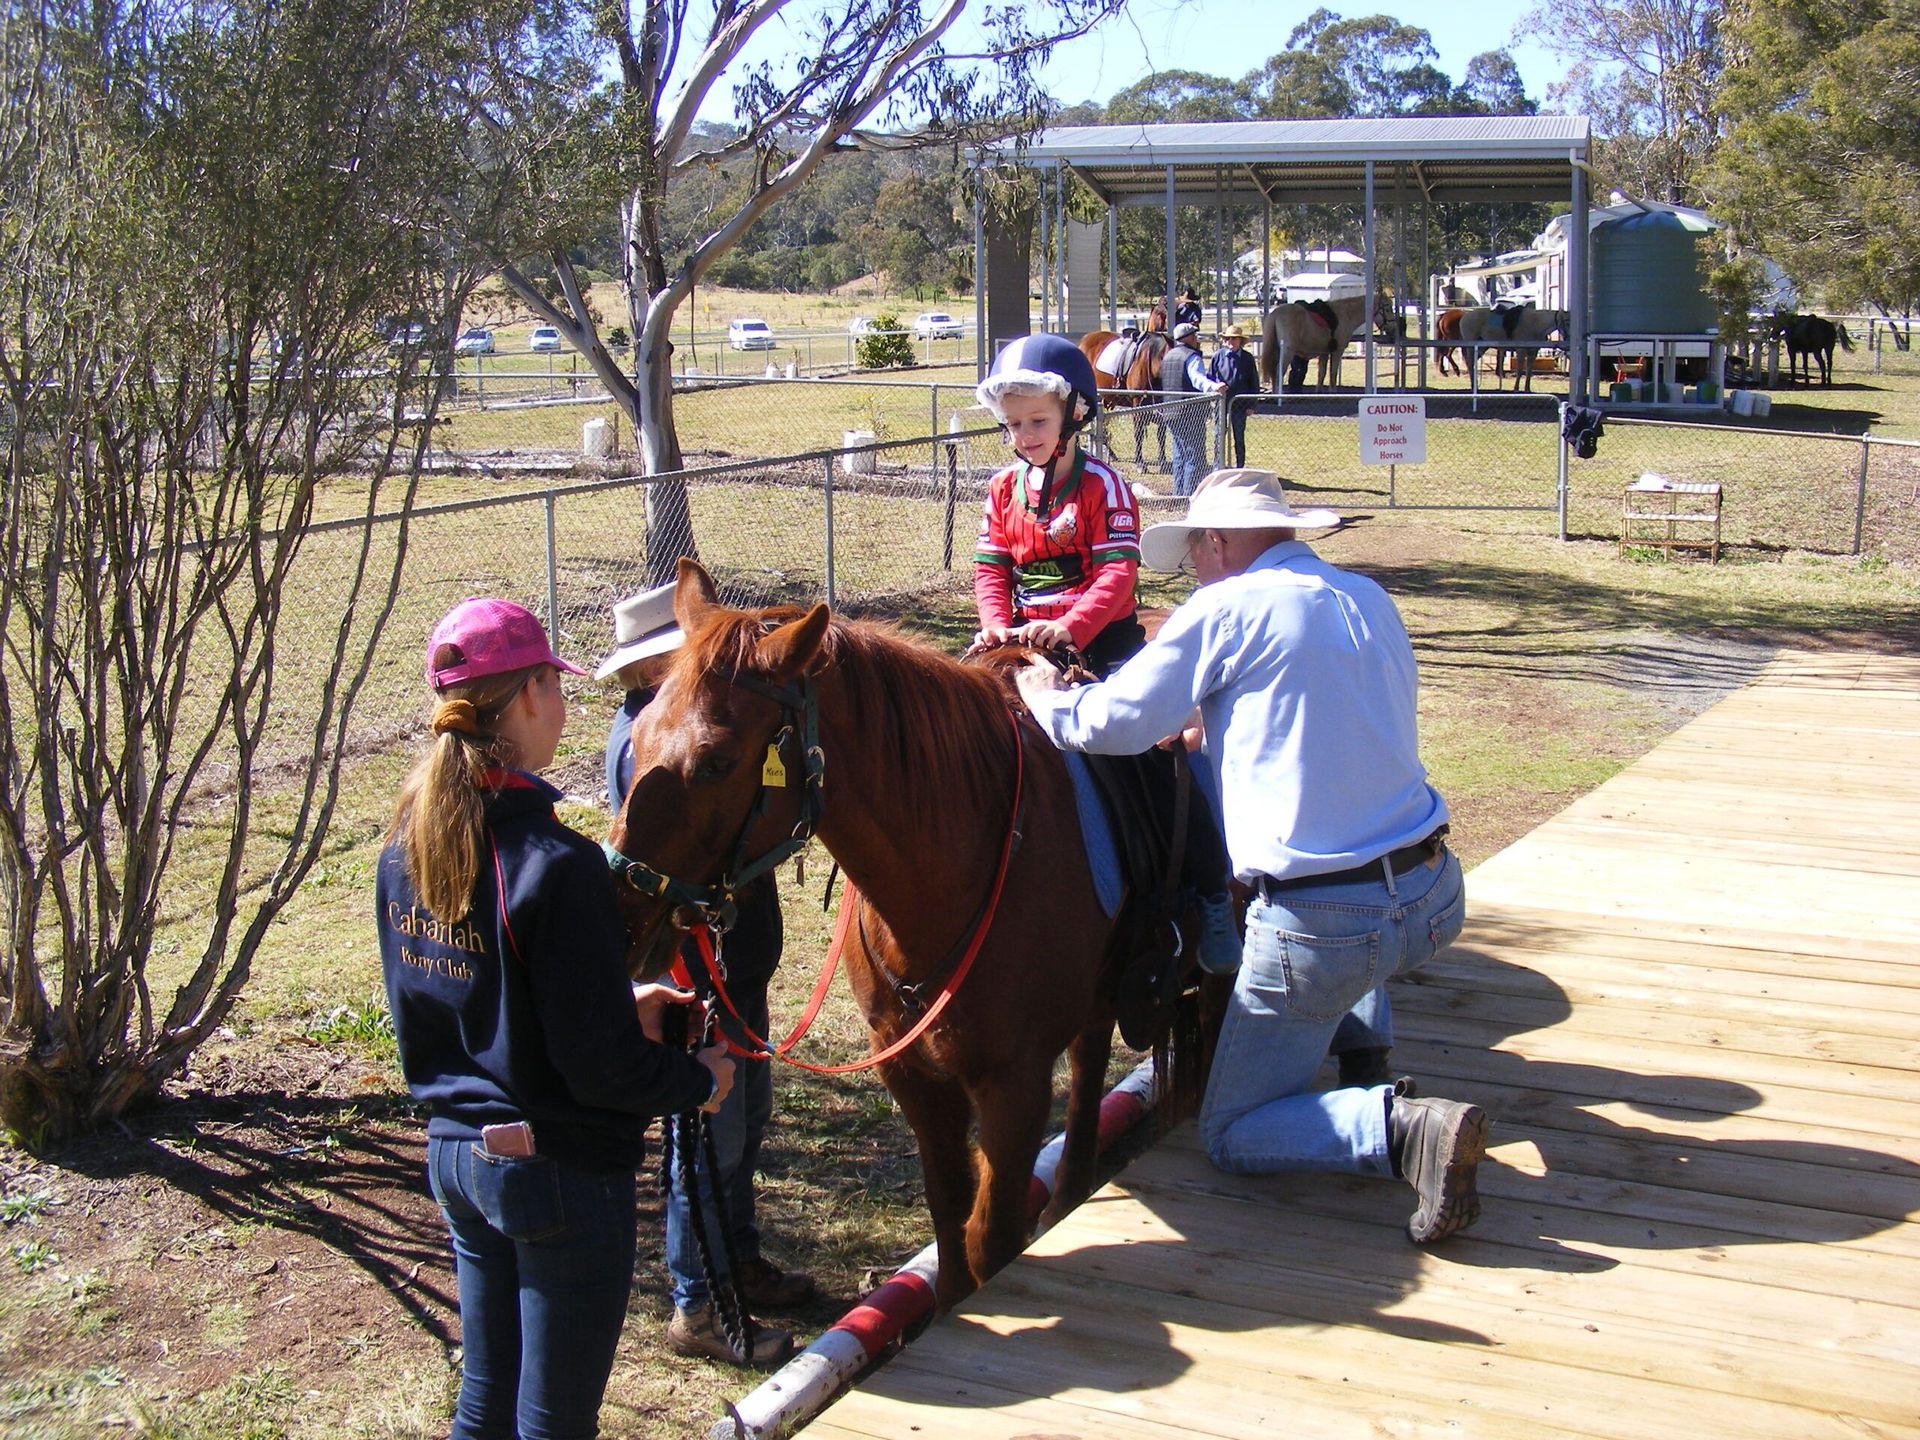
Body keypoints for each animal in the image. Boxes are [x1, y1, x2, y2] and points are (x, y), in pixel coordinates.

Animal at [607, 561, 1154, 1310]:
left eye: (716, 761)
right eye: (636, 740)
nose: (625, 914)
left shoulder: (1014, 1081)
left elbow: (990, 1233)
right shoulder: (910, 1072)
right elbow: (951, 1217)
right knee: (1094, 1052)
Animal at [1257, 294, 1400, 393]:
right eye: (1388, 308)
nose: (1395, 329)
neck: (1344, 314)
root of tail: (1275, 314)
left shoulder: (1324, 352)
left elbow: (1322, 373)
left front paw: (1319, 392)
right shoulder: (1337, 351)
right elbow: (1333, 373)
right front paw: (1333, 393)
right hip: (1287, 352)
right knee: (1278, 372)